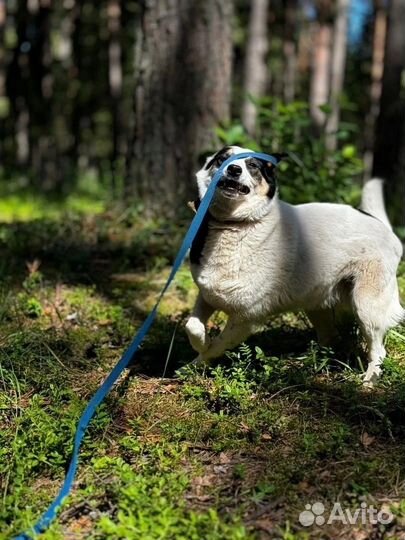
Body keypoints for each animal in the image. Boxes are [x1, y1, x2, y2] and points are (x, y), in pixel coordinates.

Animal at [185, 144, 402, 384]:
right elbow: (192, 326)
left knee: (378, 350)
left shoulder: (246, 318)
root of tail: (383, 226)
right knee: (331, 338)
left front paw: (203, 355)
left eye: (252, 165)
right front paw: (199, 351)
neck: (236, 224)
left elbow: (219, 345)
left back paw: (369, 379)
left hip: (366, 306)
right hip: (317, 304)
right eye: (222, 158)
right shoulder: (206, 295)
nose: (233, 169)